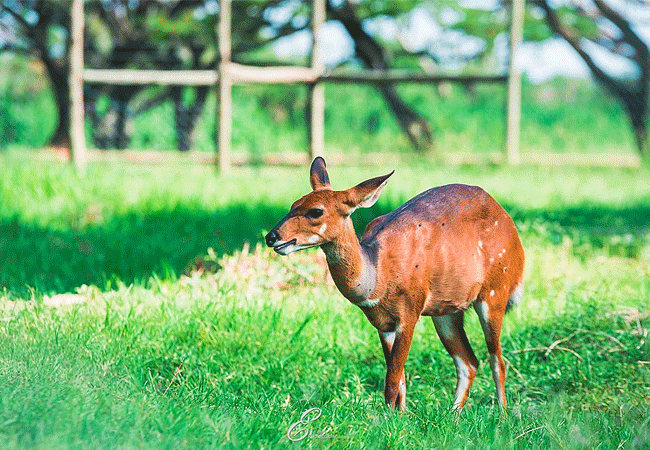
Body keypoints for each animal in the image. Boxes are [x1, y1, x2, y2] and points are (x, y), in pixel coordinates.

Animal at [265, 157, 524, 411]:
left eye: (316, 211)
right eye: (293, 204)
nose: (271, 237)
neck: (376, 279)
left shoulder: (409, 314)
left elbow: (391, 380)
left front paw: (388, 420)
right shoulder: (383, 324)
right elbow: (399, 380)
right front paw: (399, 416)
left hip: (494, 293)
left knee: (497, 360)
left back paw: (502, 416)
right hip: (446, 311)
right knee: (468, 362)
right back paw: (453, 415)